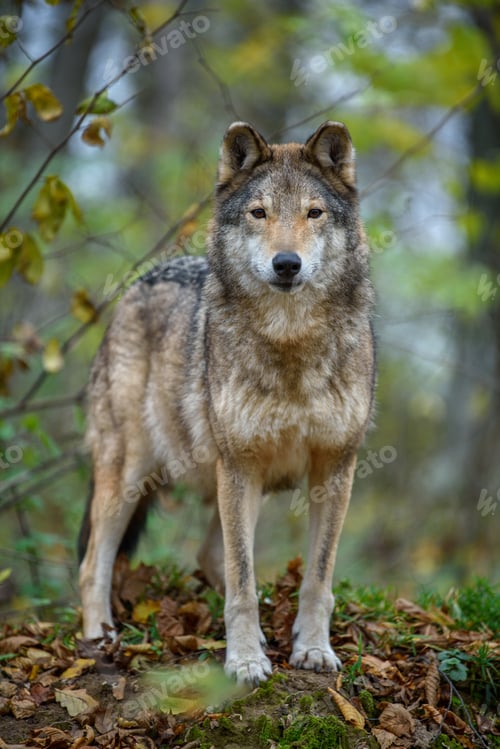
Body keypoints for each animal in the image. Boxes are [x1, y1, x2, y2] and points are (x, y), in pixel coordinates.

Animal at [78, 120, 375, 684]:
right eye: (259, 212)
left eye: (313, 213)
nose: (287, 263)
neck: (290, 344)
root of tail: (138, 284)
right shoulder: (239, 464)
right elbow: (242, 580)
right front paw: (244, 661)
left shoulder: (335, 466)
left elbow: (317, 579)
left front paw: (312, 649)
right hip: (132, 474)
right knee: (92, 565)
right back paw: (99, 639)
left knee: (207, 554)